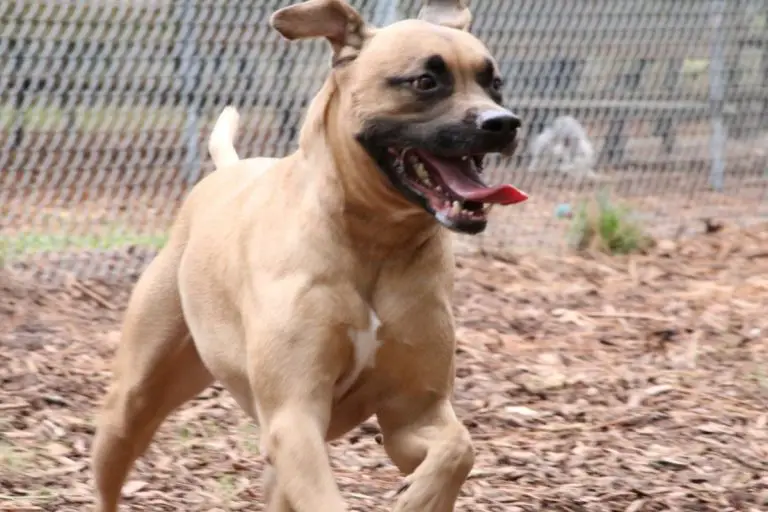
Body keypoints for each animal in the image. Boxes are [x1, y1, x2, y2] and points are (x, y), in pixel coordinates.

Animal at [91, 1, 528, 512]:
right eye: (425, 81)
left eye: (494, 81)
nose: (503, 122)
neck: (374, 242)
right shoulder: (294, 416)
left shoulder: (413, 414)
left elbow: (459, 448)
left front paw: (418, 498)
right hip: (132, 403)